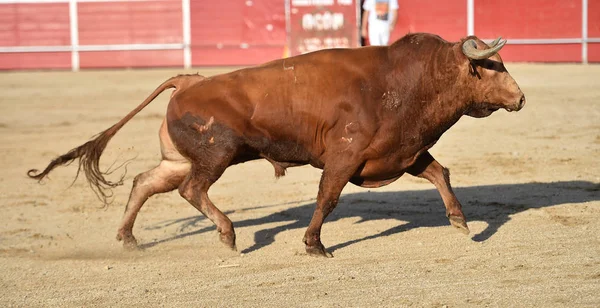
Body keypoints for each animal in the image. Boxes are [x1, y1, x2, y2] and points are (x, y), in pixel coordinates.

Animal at [28, 32, 524, 256]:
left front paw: (460, 222)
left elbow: (440, 172)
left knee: (146, 183)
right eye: (494, 66)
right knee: (192, 190)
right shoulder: (345, 157)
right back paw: (228, 234)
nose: (520, 98)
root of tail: (189, 81)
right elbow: (327, 198)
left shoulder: (402, 151)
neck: (411, 81)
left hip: (179, 159)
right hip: (217, 155)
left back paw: (129, 238)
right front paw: (314, 245)